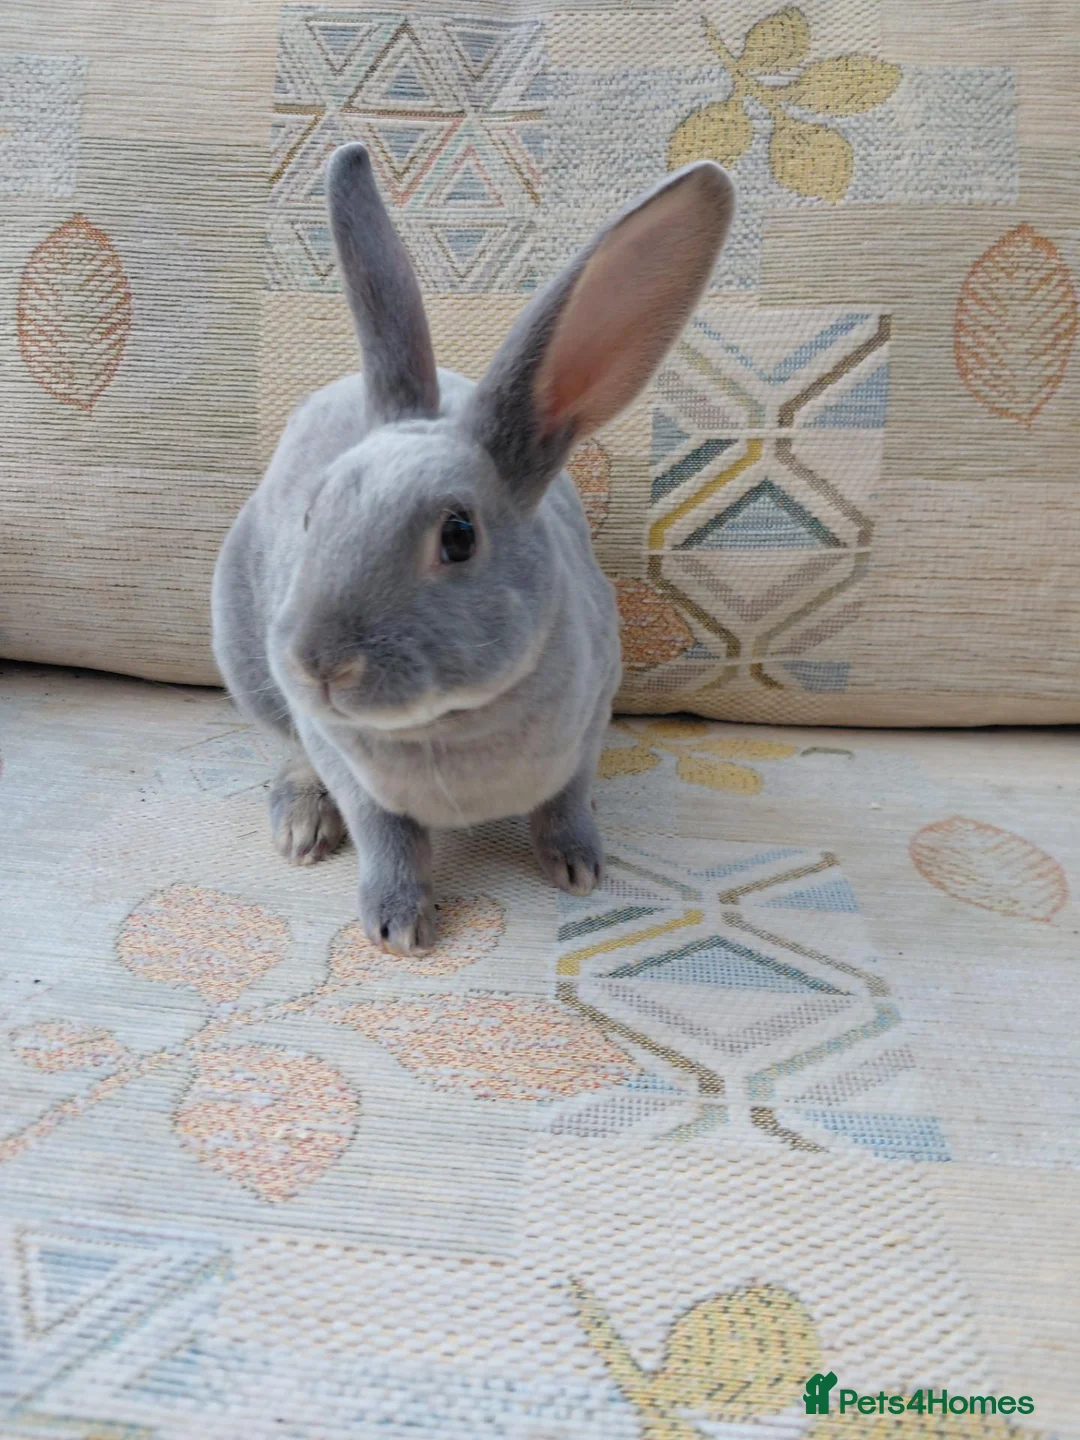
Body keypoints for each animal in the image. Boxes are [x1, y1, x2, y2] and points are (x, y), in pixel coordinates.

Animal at [212, 142, 734, 955]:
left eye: (458, 536)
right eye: (313, 513)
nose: (318, 664)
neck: (451, 723)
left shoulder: (590, 723)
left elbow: (566, 803)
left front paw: (579, 868)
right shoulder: (347, 763)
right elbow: (385, 835)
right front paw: (398, 925)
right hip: (248, 666)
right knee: (290, 751)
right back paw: (300, 828)